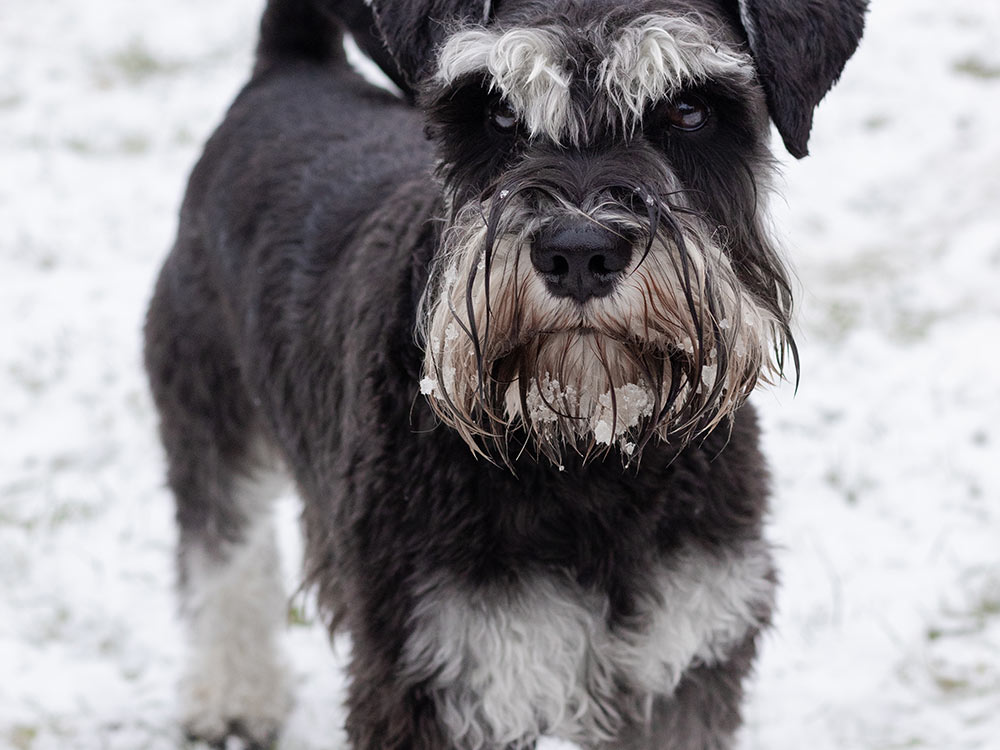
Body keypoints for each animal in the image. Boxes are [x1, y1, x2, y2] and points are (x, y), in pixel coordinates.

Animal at [143, 2, 868, 748]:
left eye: (688, 109)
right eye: (497, 112)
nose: (578, 252)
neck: (591, 452)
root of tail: (290, 66)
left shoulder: (685, 659)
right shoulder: (433, 673)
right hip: (207, 403)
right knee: (224, 549)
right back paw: (233, 696)